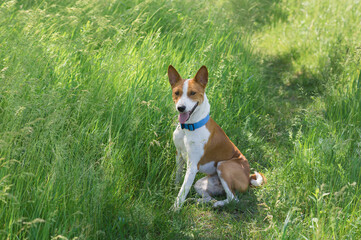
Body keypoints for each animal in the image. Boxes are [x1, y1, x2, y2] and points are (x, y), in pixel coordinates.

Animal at [168, 64, 264, 209]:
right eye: (177, 93)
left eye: (192, 93)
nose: (181, 108)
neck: (189, 128)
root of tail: (248, 178)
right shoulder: (179, 155)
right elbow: (178, 181)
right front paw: (173, 190)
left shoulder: (192, 166)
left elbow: (182, 192)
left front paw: (174, 209)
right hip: (201, 184)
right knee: (209, 198)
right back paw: (197, 201)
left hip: (223, 166)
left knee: (233, 199)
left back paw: (218, 204)